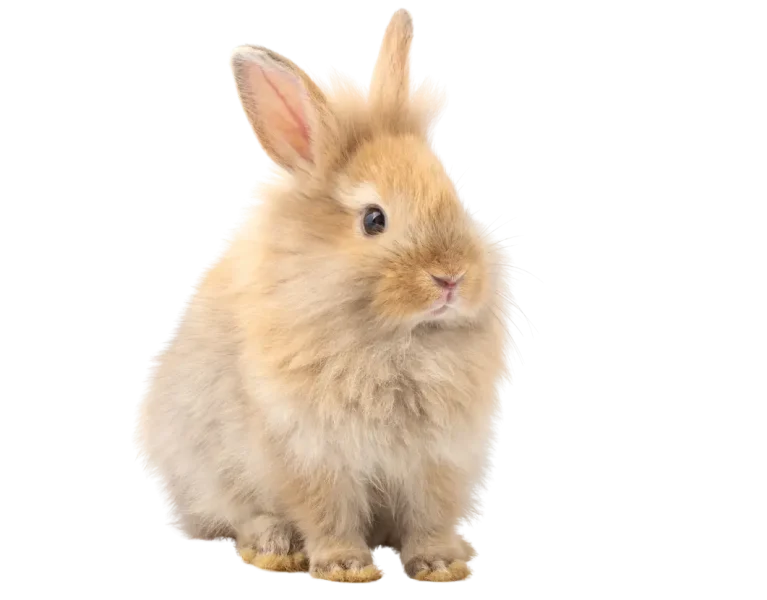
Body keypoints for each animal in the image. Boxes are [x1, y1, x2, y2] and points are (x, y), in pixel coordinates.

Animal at [132, 9, 514, 584]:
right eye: (374, 220)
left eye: (453, 198)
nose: (451, 278)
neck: (398, 340)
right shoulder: (309, 454)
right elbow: (328, 513)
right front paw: (347, 568)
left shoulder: (438, 462)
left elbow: (429, 516)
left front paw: (441, 564)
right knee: (239, 517)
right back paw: (273, 548)